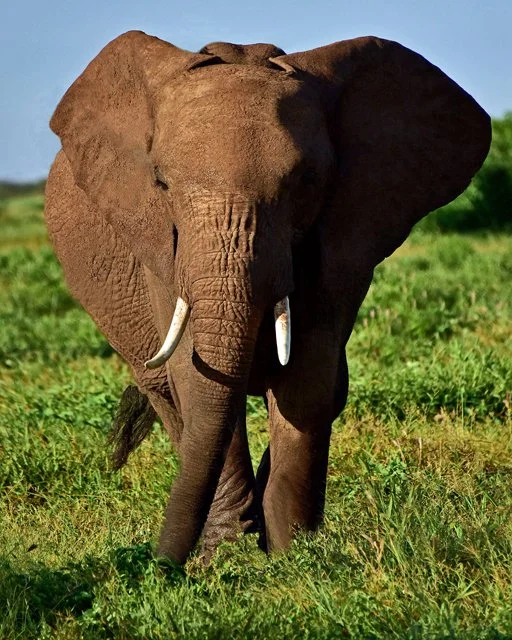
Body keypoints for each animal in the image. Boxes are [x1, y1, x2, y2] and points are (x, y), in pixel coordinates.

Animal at [45, 30, 490, 565]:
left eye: (306, 181)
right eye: (161, 183)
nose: (160, 563)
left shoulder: (339, 233)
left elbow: (308, 374)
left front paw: (294, 554)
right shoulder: (163, 250)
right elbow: (194, 377)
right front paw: (226, 557)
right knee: (168, 395)